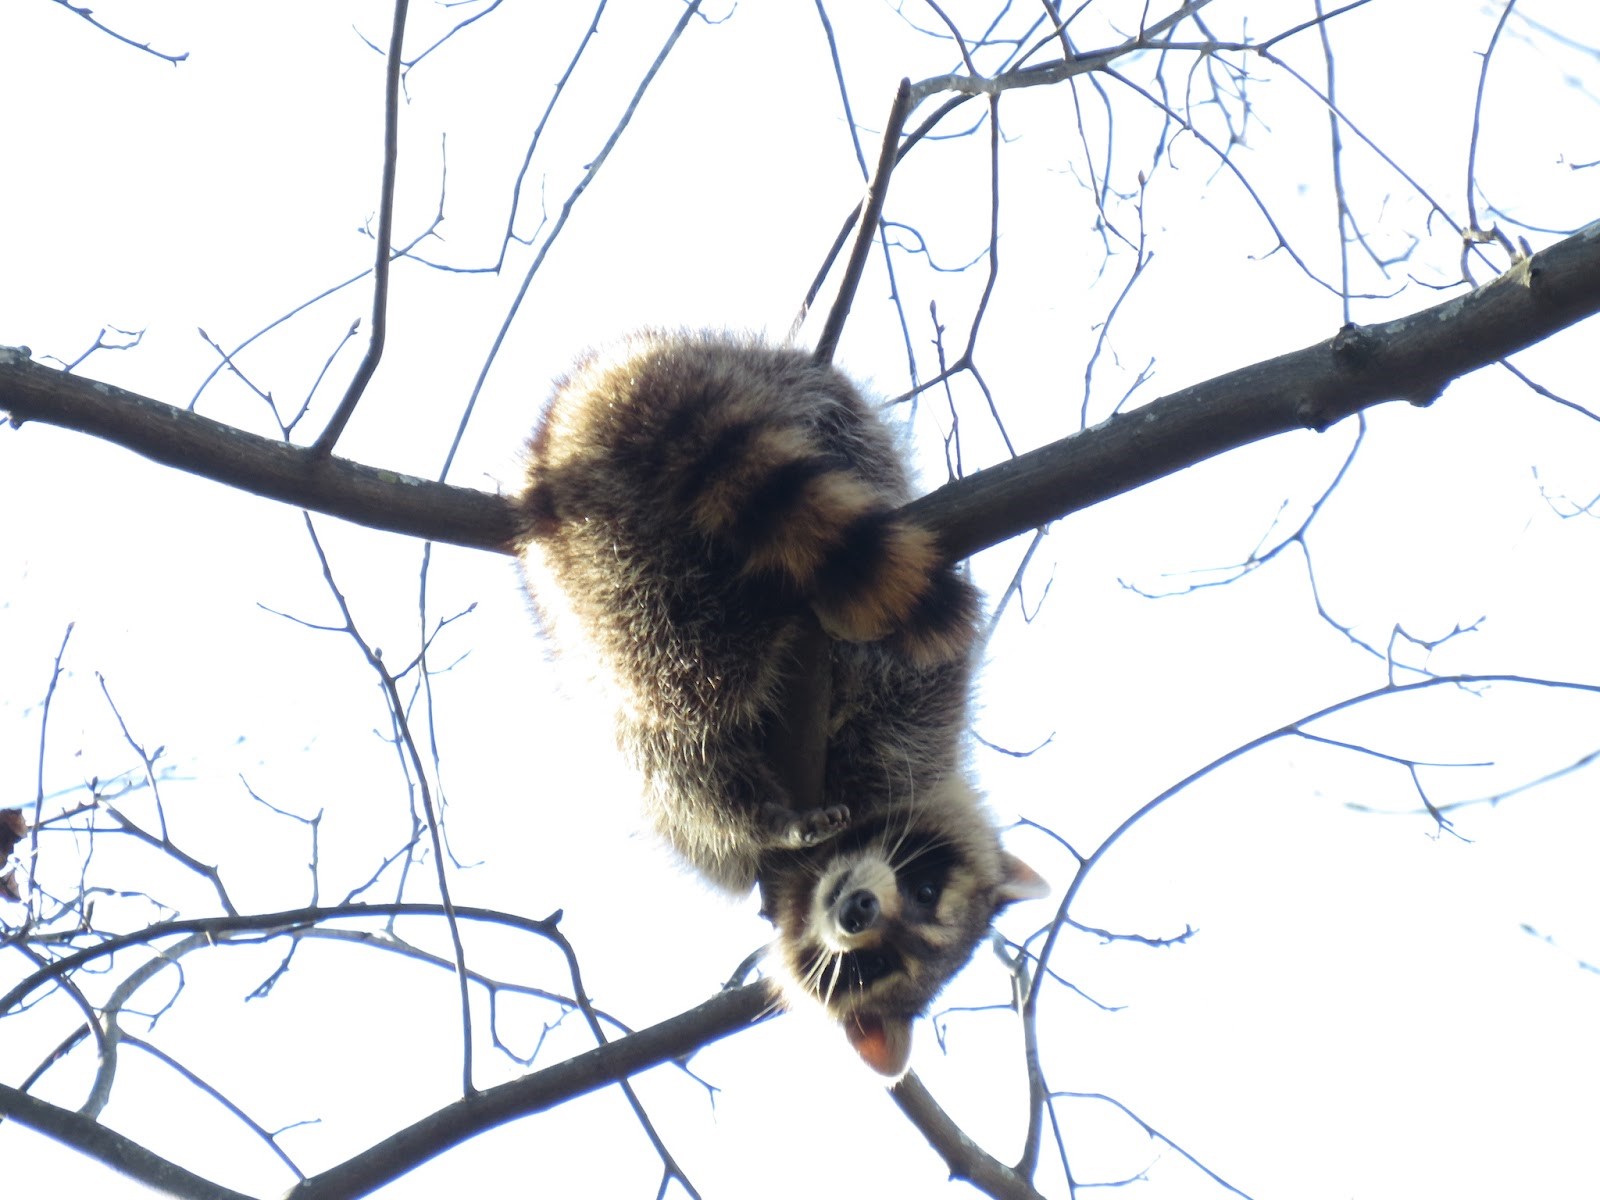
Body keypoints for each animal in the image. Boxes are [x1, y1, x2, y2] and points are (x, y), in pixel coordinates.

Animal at [515, 331, 1049, 1081]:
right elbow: (692, 783)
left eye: (874, 969)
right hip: (794, 413)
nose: (858, 911)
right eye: (922, 891)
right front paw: (767, 811)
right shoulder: (921, 720)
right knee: (676, 672)